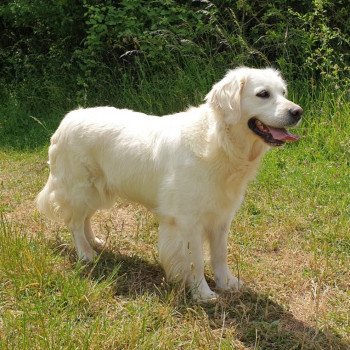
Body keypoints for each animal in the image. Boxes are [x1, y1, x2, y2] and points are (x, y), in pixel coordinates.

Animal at [37, 67, 302, 300]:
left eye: (283, 92)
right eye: (263, 94)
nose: (298, 111)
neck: (220, 143)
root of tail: (68, 118)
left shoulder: (221, 217)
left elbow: (220, 255)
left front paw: (227, 283)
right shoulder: (187, 220)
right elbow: (196, 261)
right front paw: (203, 294)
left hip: (100, 192)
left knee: (85, 219)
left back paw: (94, 241)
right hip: (81, 189)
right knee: (74, 222)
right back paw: (86, 253)